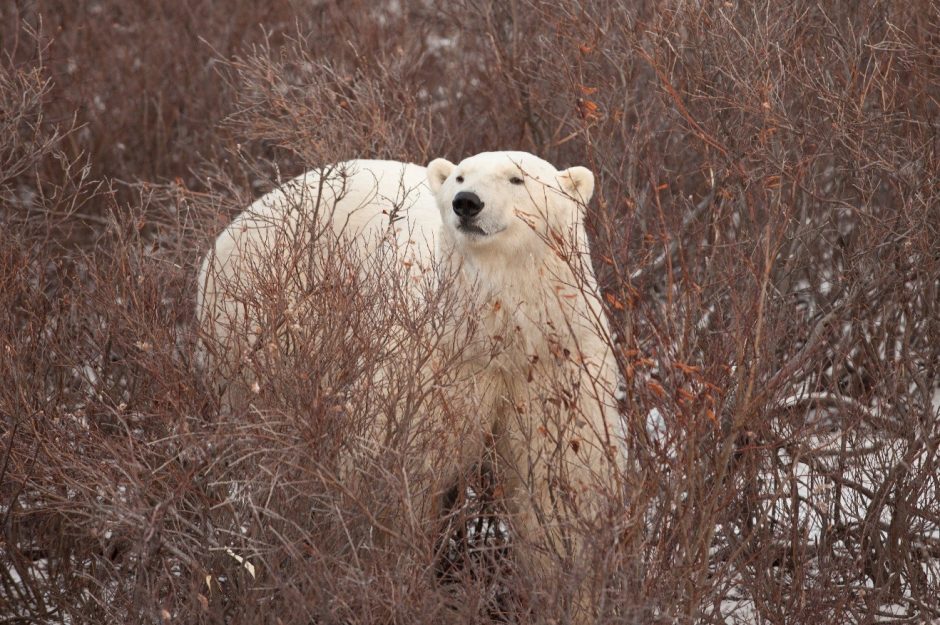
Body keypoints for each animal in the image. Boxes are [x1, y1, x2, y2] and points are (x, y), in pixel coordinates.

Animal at [197, 151, 624, 620]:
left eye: (517, 178)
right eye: (460, 176)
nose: (466, 203)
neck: (497, 333)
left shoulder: (554, 361)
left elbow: (556, 487)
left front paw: (571, 603)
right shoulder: (434, 362)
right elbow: (400, 468)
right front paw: (396, 584)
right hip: (261, 318)